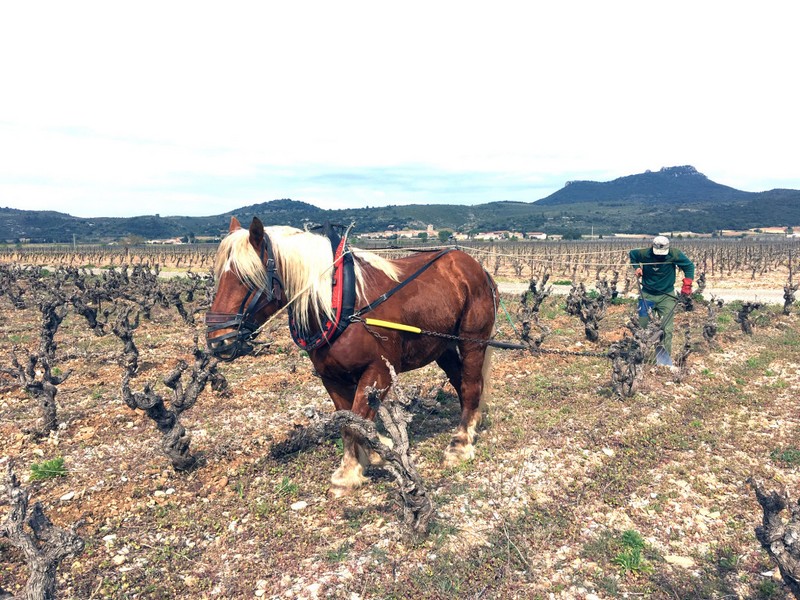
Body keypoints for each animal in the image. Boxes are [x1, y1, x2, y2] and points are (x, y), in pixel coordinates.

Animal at [206, 216, 498, 496]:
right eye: (219, 276)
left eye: (247, 278)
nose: (218, 340)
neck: (340, 303)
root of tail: (475, 267)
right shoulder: (331, 377)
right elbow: (349, 424)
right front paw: (359, 462)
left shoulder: (379, 372)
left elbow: (358, 424)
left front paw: (353, 471)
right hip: (443, 346)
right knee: (461, 381)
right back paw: (473, 423)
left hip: (473, 341)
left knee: (471, 385)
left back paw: (460, 443)